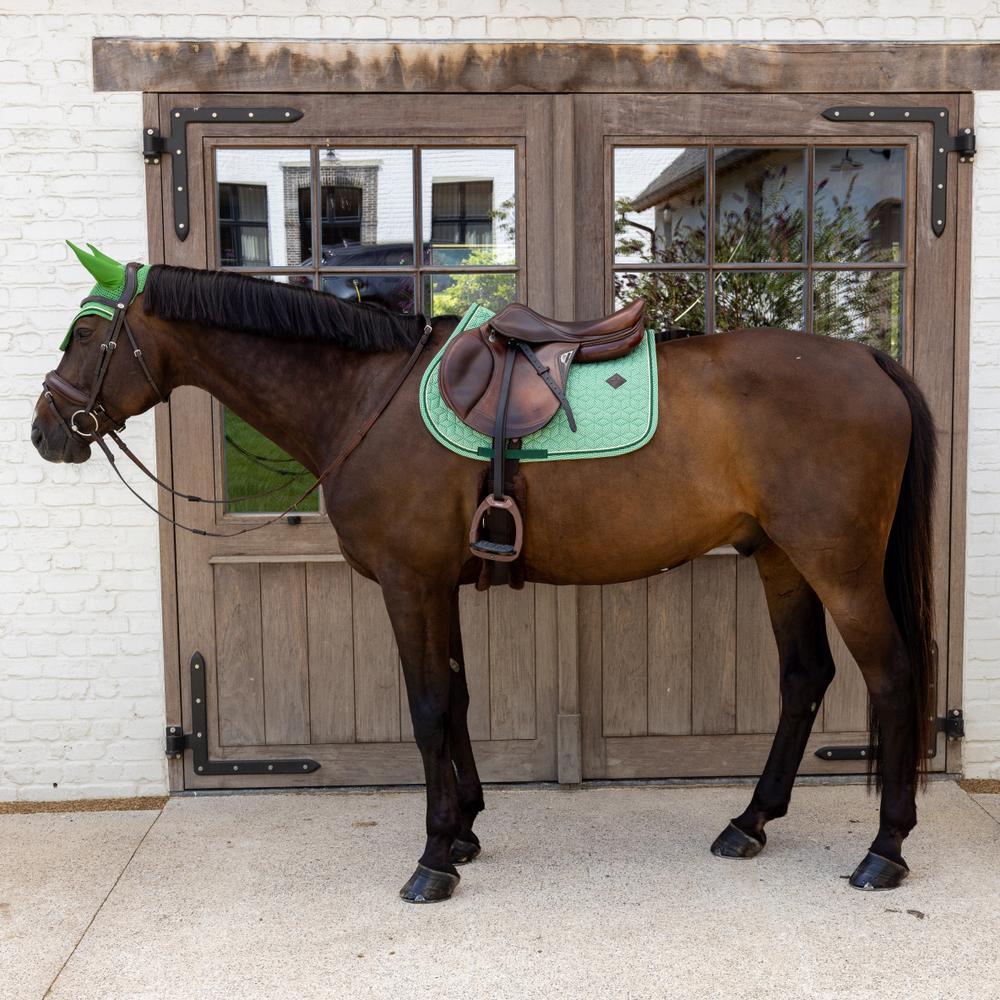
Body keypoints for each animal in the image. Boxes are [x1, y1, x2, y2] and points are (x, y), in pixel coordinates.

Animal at [32, 248, 936, 902]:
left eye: (85, 335)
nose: (47, 429)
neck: (364, 396)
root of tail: (868, 359)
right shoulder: (438, 584)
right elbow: (458, 697)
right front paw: (464, 827)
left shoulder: (409, 583)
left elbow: (429, 707)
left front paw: (434, 857)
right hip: (781, 557)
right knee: (804, 676)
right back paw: (750, 822)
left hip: (839, 564)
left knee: (892, 675)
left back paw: (885, 848)